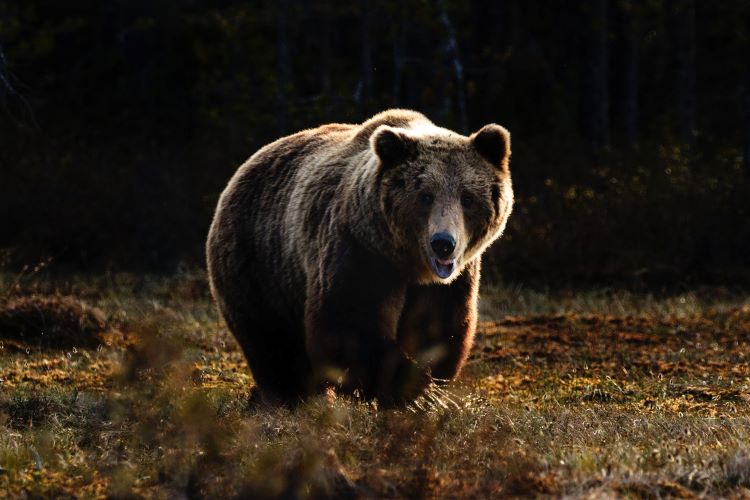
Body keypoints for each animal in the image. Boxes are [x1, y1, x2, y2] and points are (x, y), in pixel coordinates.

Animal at [206, 109, 513, 406]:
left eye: (467, 198)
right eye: (425, 196)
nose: (443, 244)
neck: (407, 262)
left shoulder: (450, 281)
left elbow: (438, 327)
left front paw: (426, 386)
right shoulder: (359, 251)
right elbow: (349, 322)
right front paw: (407, 388)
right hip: (259, 262)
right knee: (272, 341)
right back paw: (289, 396)